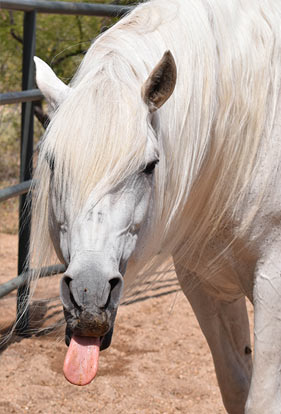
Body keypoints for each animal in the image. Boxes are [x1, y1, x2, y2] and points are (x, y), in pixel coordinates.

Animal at [31, 0, 280, 410]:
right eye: (52, 162)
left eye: (150, 166)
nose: (89, 296)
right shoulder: (206, 284)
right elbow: (235, 388)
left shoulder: (273, 287)